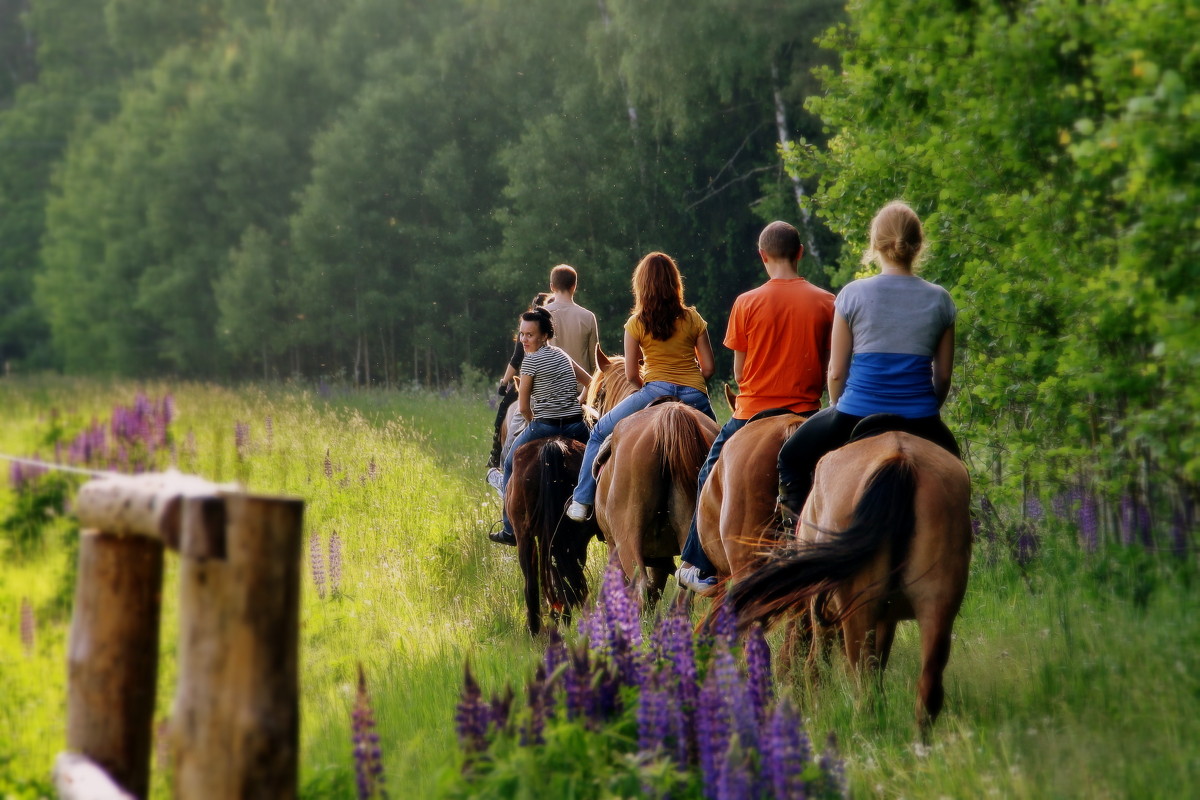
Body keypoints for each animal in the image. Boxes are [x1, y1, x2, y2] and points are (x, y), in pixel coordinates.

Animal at [504, 434, 600, 633]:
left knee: (534, 584)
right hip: (571, 540)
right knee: (564, 581)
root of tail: (553, 445)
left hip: (526, 536)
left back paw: (537, 628)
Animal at [720, 429, 974, 734]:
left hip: (856, 610)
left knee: (861, 682)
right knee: (926, 688)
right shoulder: (885, 617)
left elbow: (816, 664)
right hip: (937, 602)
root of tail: (900, 461)